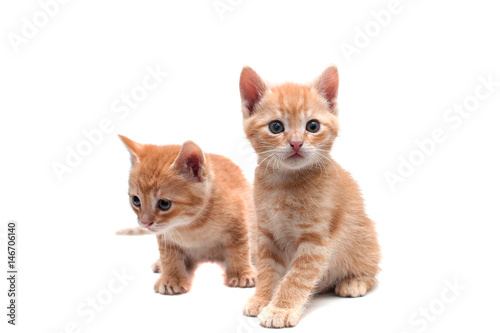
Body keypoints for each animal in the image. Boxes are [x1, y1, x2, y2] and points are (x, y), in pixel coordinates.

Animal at [115, 135, 256, 294]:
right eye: (136, 200)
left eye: (164, 203)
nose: (145, 223)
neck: (191, 225)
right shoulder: (165, 236)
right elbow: (169, 256)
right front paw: (171, 278)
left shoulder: (239, 219)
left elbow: (240, 248)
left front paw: (241, 272)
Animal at [238, 65, 378, 326]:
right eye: (276, 127)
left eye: (312, 126)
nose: (296, 143)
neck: (285, 185)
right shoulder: (266, 235)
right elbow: (267, 271)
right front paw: (262, 298)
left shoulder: (315, 241)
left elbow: (296, 277)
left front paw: (279, 309)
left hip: (365, 239)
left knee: (372, 272)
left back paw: (354, 282)